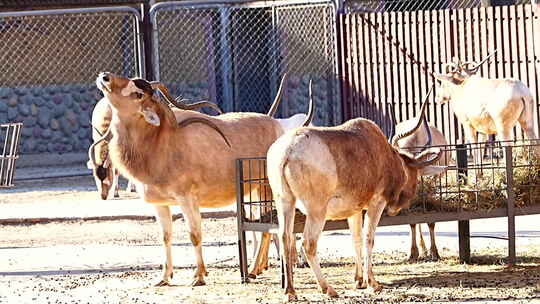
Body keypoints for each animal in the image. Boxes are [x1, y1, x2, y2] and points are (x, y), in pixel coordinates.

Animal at [91, 72, 314, 286]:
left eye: (138, 94)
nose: (105, 77)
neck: (162, 142)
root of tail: (274, 124)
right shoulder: (160, 204)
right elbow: (165, 237)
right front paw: (164, 277)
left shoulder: (187, 199)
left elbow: (194, 235)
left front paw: (199, 276)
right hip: (253, 191)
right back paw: (256, 269)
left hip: (266, 189)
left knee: (267, 229)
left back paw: (252, 270)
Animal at [266, 97, 448, 300]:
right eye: (415, 177)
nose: (398, 207)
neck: (382, 153)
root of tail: (286, 153)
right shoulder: (376, 203)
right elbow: (369, 238)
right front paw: (373, 283)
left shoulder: (354, 210)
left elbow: (356, 239)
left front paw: (359, 280)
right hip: (316, 211)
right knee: (308, 243)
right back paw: (328, 289)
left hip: (285, 203)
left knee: (285, 237)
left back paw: (290, 291)